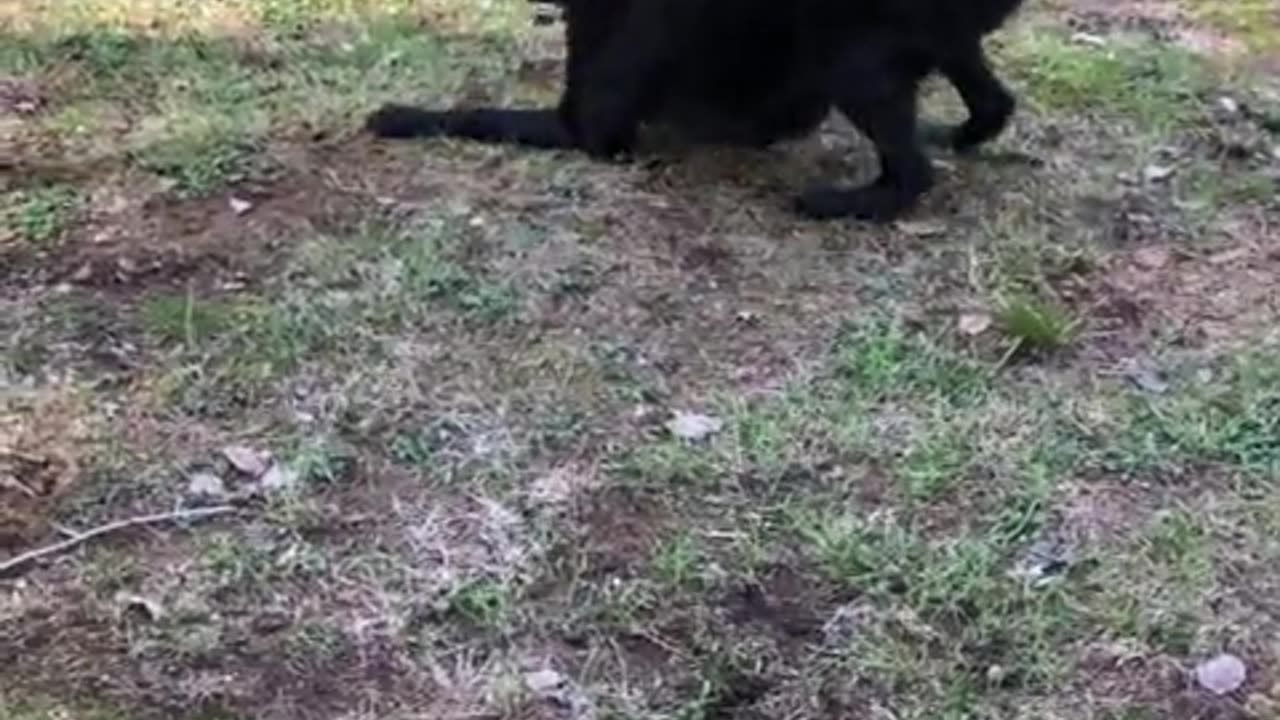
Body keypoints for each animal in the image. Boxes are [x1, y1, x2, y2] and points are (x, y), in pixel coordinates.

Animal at [366, 0, 1024, 221]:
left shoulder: (588, 125)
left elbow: (472, 111)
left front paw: (400, 115)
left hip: (856, 59)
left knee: (913, 175)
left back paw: (841, 204)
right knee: (994, 103)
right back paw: (956, 135)